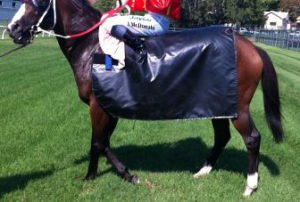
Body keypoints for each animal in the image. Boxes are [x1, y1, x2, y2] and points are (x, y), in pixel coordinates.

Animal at [7, 0, 282, 196]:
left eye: (39, 2)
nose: (12, 29)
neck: (92, 46)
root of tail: (251, 46)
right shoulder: (110, 106)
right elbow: (104, 143)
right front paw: (127, 174)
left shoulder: (98, 106)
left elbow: (96, 142)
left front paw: (90, 176)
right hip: (219, 105)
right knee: (222, 136)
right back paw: (203, 170)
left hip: (240, 109)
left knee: (252, 138)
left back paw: (250, 186)